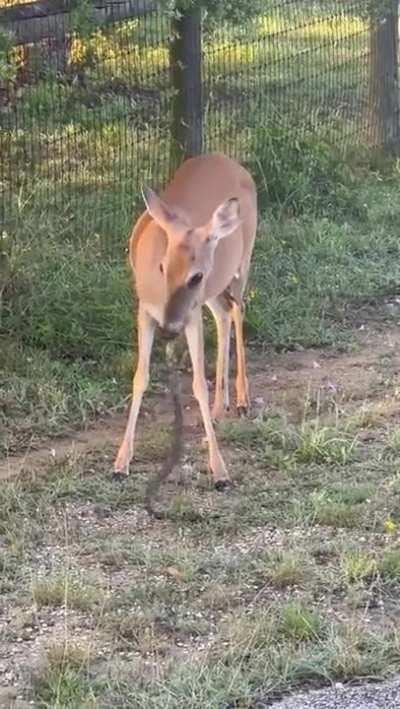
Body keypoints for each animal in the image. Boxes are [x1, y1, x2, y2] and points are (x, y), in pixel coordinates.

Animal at [114, 153, 257, 489]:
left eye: (196, 275)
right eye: (163, 266)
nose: (169, 329)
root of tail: (227, 159)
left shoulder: (189, 315)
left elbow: (197, 383)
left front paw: (220, 471)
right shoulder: (145, 310)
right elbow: (140, 377)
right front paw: (121, 461)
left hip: (242, 263)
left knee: (238, 309)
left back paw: (241, 400)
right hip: (213, 292)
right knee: (224, 314)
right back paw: (220, 407)